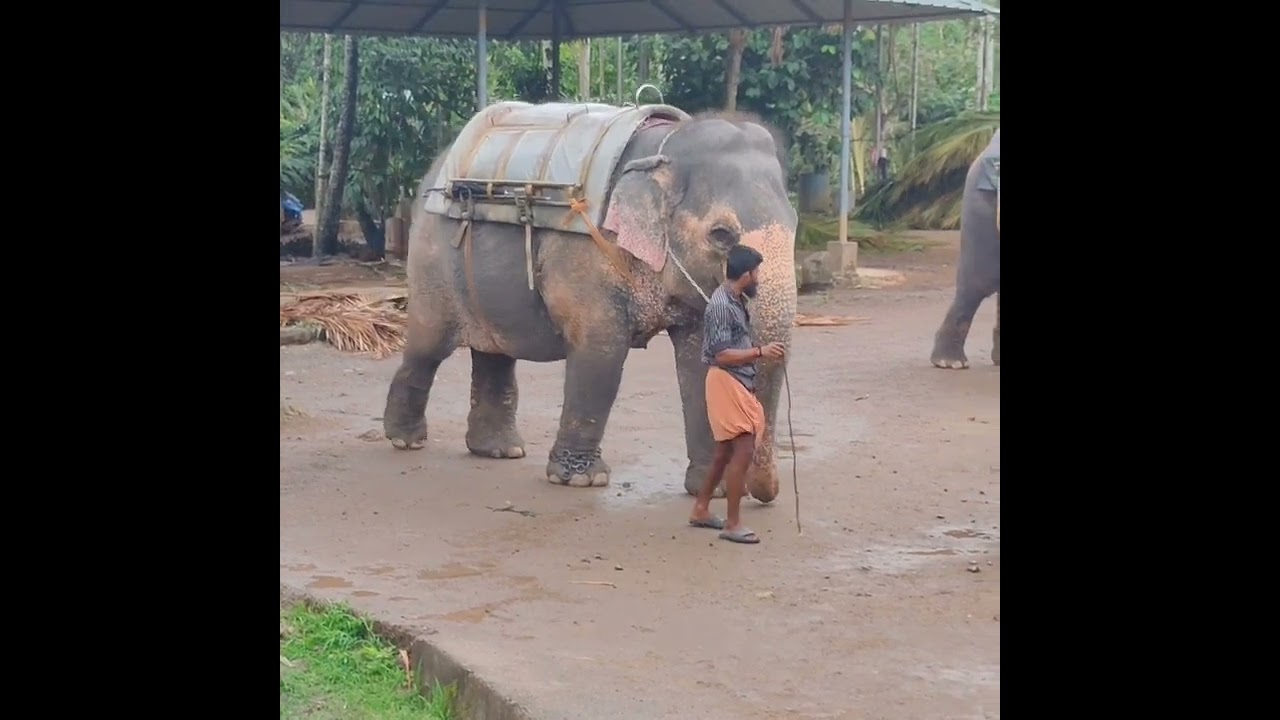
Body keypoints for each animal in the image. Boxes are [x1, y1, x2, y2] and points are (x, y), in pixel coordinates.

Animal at [382, 106, 798, 502]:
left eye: (795, 223)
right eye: (721, 234)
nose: (762, 494)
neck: (666, 146)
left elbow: (699, 361)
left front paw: (713, 489)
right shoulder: (585, 257)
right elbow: (602, 351)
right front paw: (581, 480)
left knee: (495, 351)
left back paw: (500, 451)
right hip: (432, 256)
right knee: (429, 346)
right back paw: (406, 440)